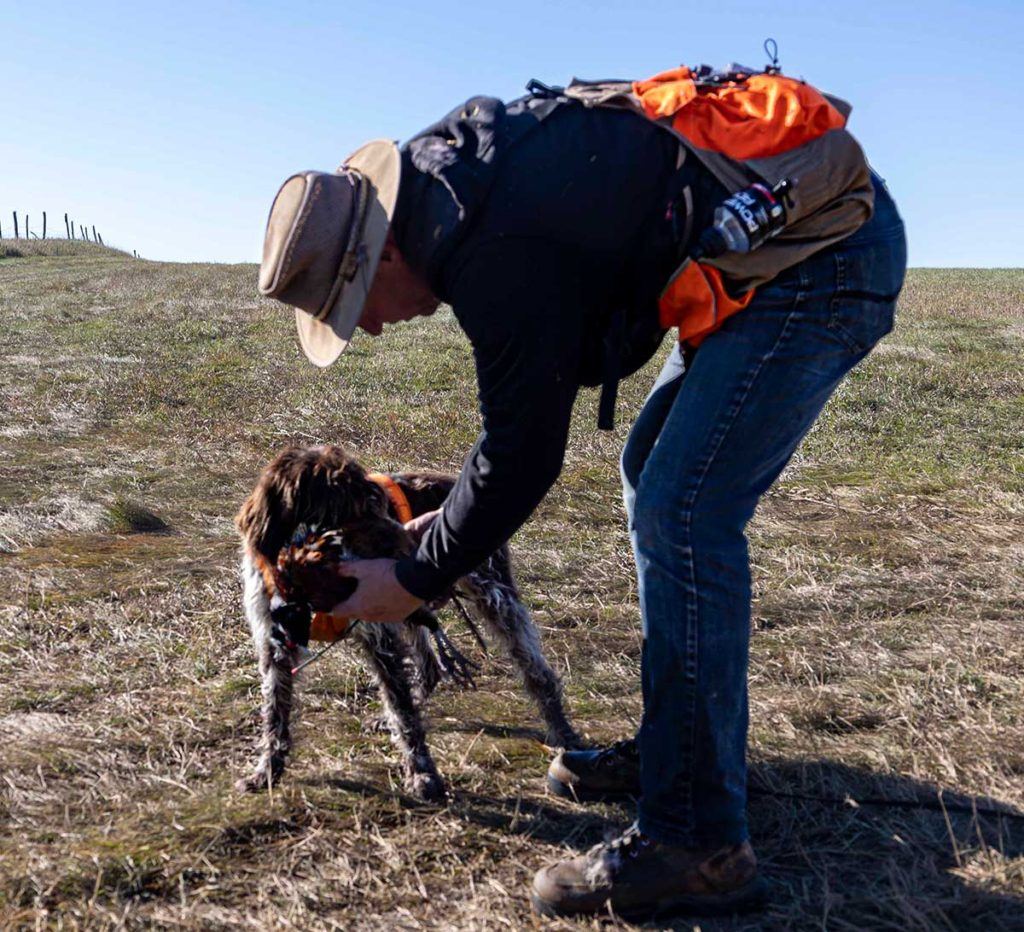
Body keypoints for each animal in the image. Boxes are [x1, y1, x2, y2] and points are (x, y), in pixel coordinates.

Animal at [234, 446, 581, 802]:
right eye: (350, 511)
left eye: (375, 504)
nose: (409, 545)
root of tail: (454, 482)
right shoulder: (275, 641)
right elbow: (275, 711)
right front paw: (267, 769)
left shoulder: (379, 637)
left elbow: (403, 712)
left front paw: (422, 773)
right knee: (430, 666)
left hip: (493, 597)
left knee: (537, 673)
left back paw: (563, 735)